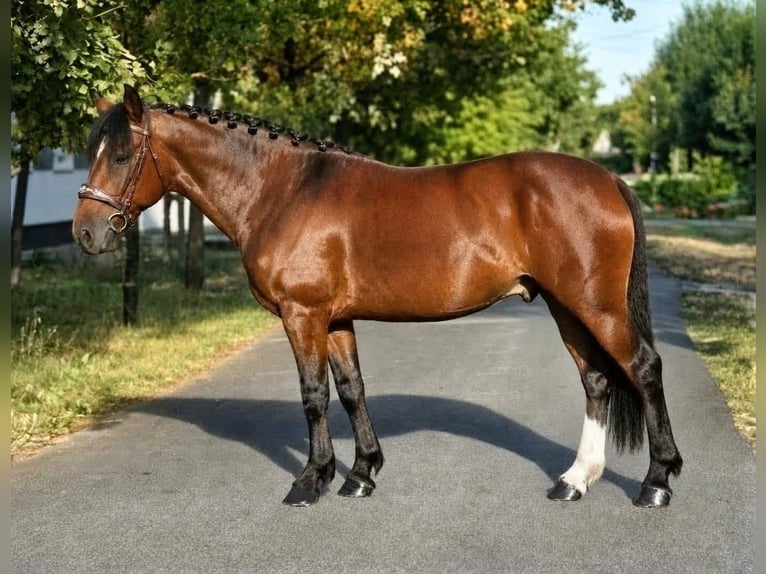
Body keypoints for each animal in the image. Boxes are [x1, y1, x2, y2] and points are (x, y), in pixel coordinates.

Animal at [72, 84, 682, 508]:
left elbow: (314, 396)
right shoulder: (335, 320)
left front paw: (310, 481)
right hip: (565, 306)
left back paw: (656, 482)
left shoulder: (302, 315)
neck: (283, 190)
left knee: (643, 369)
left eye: (121, 155)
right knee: (597, 380)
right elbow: (351, 391)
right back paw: (575, 480)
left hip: (596, 306)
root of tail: (608, 179)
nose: (86, 233)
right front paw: (361, 475)